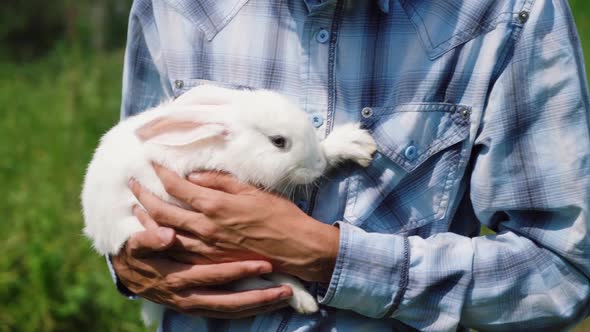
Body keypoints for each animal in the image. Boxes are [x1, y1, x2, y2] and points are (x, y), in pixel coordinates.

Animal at [81, 84, 376, 326]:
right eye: (279, 142)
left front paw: (355, 145)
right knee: (249, 281)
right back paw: (300, 298)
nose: (317, 166)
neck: (229, 150)